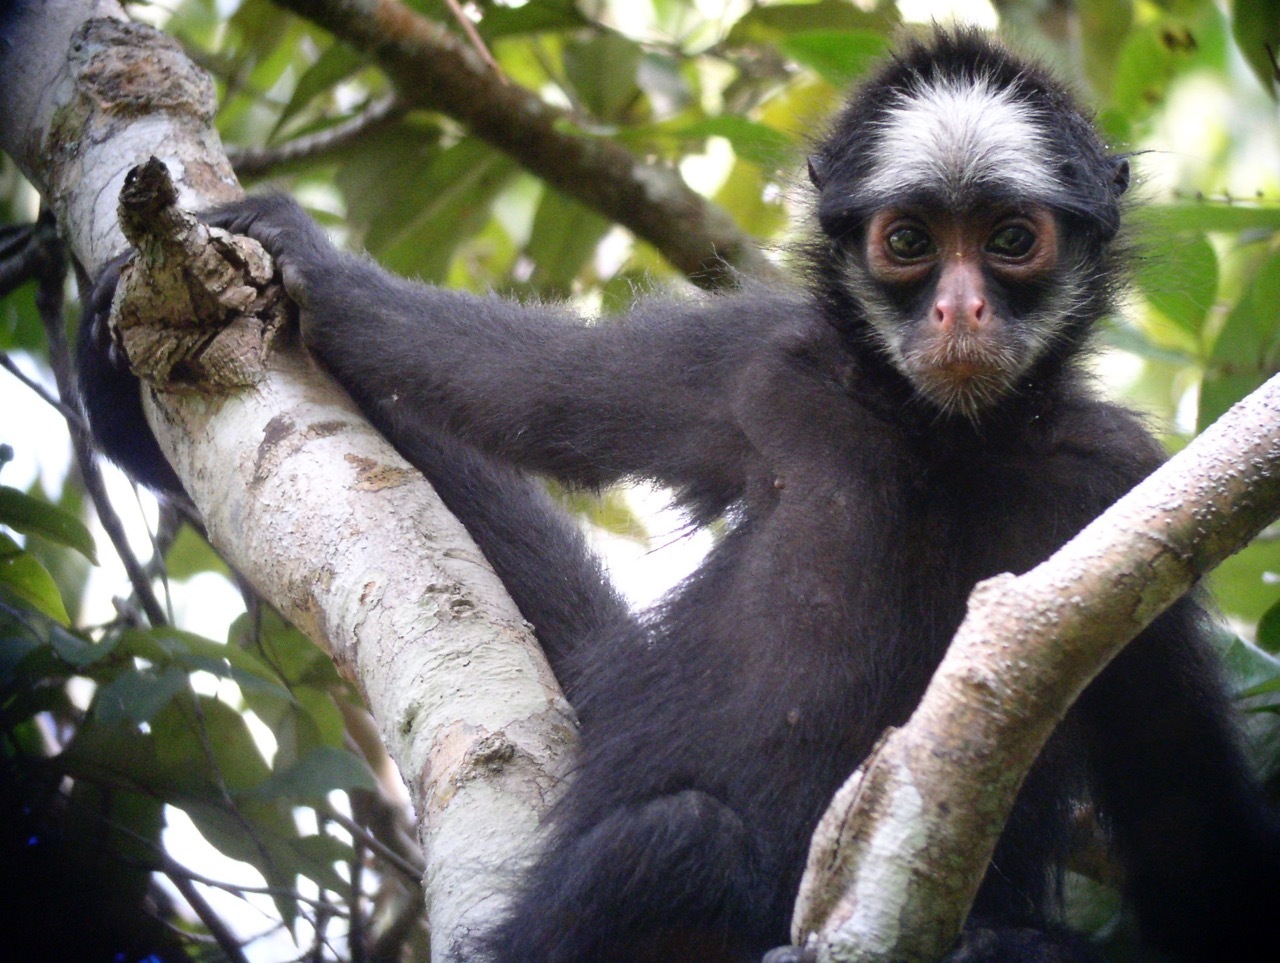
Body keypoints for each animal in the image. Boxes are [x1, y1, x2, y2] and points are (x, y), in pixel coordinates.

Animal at [80, 30, 1280, 962]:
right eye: (907, 244)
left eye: (1009, 242)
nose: (958, 312)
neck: (944, 439)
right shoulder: (760, 367)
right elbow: (527, 389)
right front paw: (309, 257)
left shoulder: (1114, 478)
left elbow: (1182, 809)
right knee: (684, 839)